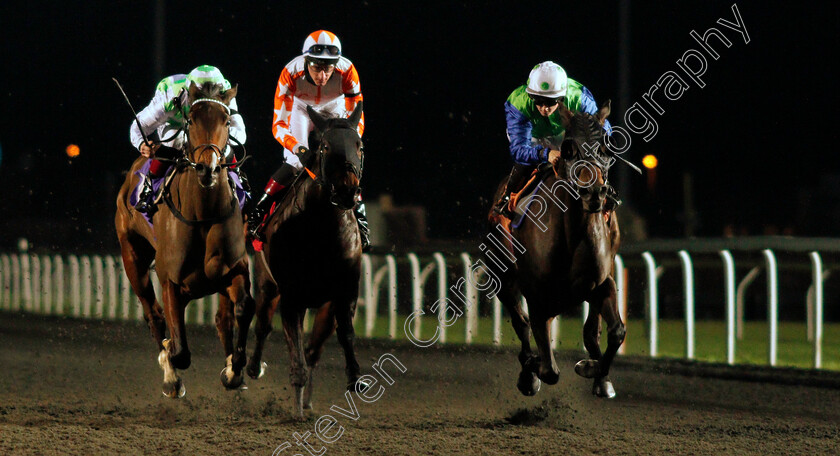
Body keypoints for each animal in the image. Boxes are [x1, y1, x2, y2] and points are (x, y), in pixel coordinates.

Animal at [115, 83, 254, 398]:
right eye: (190, 120)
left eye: (226, 121)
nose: (207, 169)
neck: (202, 214)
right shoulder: (171, 281)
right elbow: (179, 351)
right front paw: (170, 366)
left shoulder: (234, 268)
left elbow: (243, 307)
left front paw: (235, 369)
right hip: (133, 259)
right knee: (154, 315)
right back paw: (170, 377)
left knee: (223, 317)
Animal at [248, 102, 370, 416]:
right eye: (325, 146)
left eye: (359, 145)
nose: (347, 190)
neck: (321, 228)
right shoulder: (292, 298)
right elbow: (296, 355)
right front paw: (297, 411)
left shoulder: (344, 292)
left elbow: (345, 335)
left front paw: (355, 378)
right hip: (268, 286)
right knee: (262, 327)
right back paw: (253, 369)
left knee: (314, 350)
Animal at [486, 102, 624, 400]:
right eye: (569, 148)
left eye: (604, 147)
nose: (594, 192)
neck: (571, 235)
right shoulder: (536, 294)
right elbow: (549, 369)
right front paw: (533, 367)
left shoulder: (602, 281)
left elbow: (616, 331)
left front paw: (593, 369)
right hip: (503, 277)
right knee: (522, 323)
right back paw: (529, 372)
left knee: (591, 329)